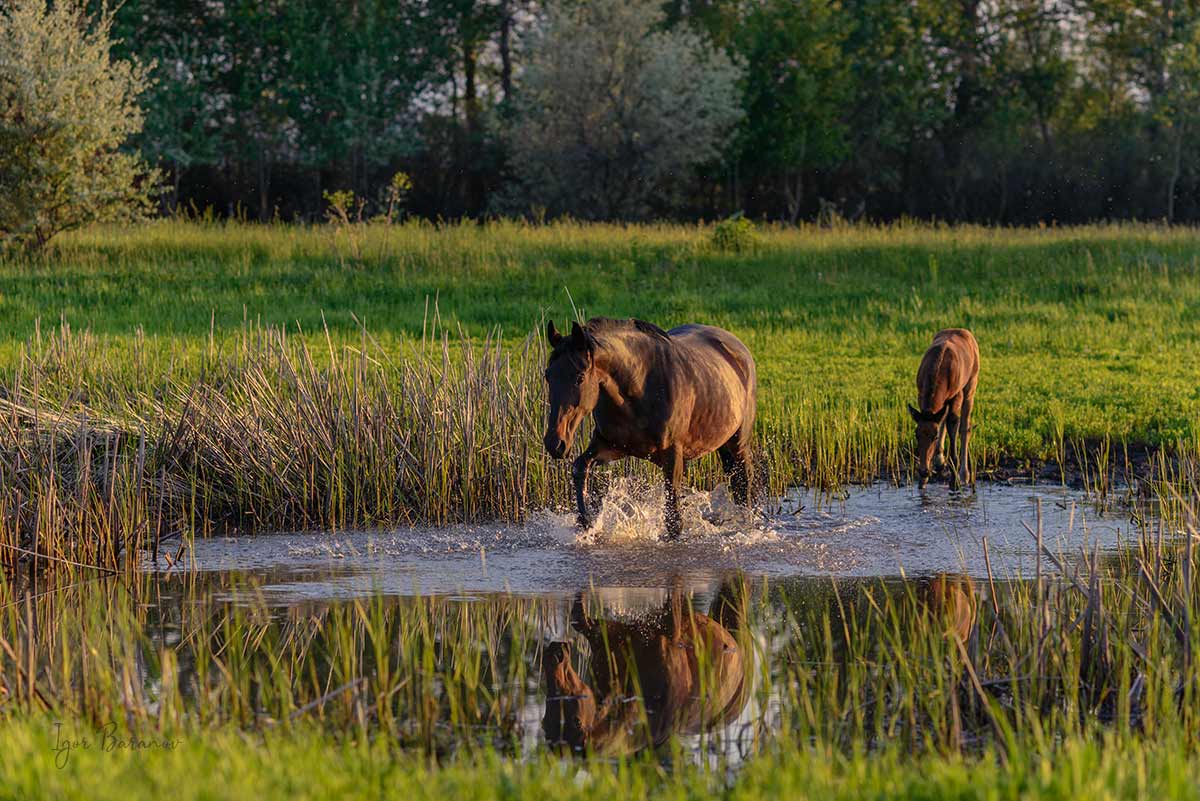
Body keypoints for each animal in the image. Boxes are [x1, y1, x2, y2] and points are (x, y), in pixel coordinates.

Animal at [544, 577, 748, 753]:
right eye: (545, 721)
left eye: (576, 721)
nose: (554, 653)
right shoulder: (607, 638)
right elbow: (578, 619)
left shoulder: (671, 627)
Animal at [547, 316, 758, 537]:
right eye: (547, 375)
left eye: (579, 377)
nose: (555, 443)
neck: (639, 388)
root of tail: (738, 347)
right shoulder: (611, 446)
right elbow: (580, 467)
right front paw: (586, 523)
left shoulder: (672, 455)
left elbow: (674, 522)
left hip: (738, 443)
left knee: (744, 481)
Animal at [902, 328, 979, 491]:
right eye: (916, 435)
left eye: (934, 437)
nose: (924, 471)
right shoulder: (921, 394)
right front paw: (923, 480)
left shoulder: (956, 395)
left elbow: (953, 425)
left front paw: (954, 480)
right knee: (943, 418)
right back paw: (939, 459)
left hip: (971, 386)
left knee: (965, 427)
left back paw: (964, 475)